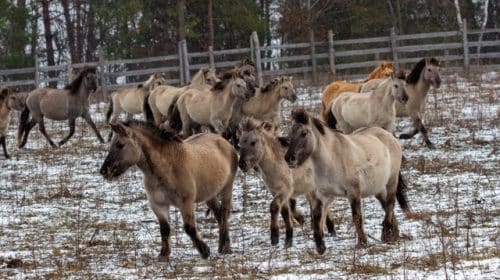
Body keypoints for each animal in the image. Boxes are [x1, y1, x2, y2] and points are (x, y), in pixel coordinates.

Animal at [99, 120, 238, 260]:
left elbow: (189, 228)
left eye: (120, 145)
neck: (168, 168)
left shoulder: (186, 203)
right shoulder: (158, 204)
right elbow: (164, 228)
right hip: (210, 195)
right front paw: (163, 254)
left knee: (224, 214)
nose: (104, 171)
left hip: (227, 189)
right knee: (219, 215)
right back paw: (222, 246)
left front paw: (204, 251)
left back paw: (225, 248)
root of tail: (224, 141)